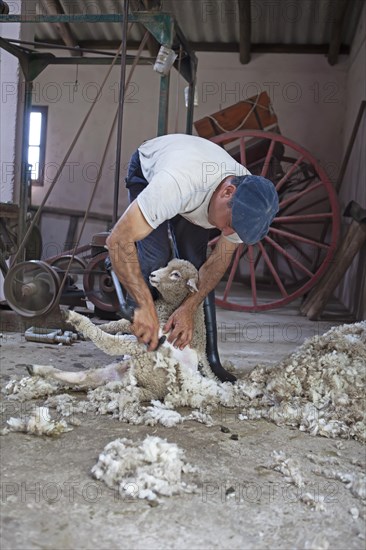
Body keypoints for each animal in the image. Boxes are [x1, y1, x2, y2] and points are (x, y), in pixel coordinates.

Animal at [29, 260, 217, 404]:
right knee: (83, 377)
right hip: (114, 371)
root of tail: (154, 390)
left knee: (109, 344)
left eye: (176, 275)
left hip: (138, 354)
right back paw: (36, 368)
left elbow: (117, 329)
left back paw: (75, 318)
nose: (152, 275)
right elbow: (119, 323)